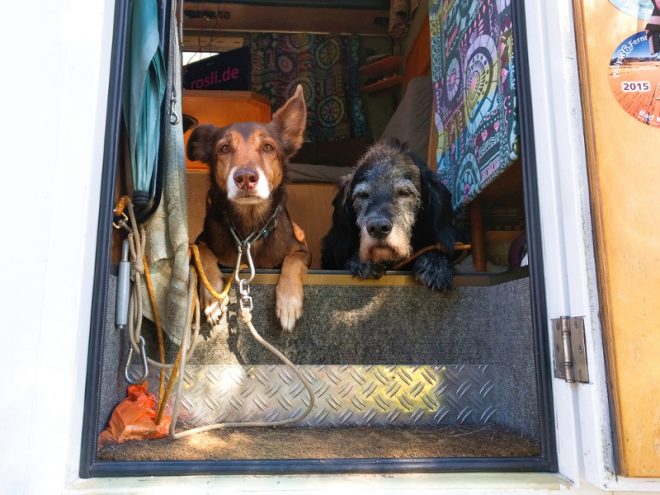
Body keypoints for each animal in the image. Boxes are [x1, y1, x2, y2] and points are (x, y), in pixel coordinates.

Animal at [186, 86, 310, 332]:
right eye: (223, 148)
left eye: (268, 147)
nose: (245, 178)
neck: (249, 228)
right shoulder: (198, 243)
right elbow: (202, 252)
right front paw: (213, 298)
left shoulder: (302, 251)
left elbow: (293, 261)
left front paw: (289, 302)